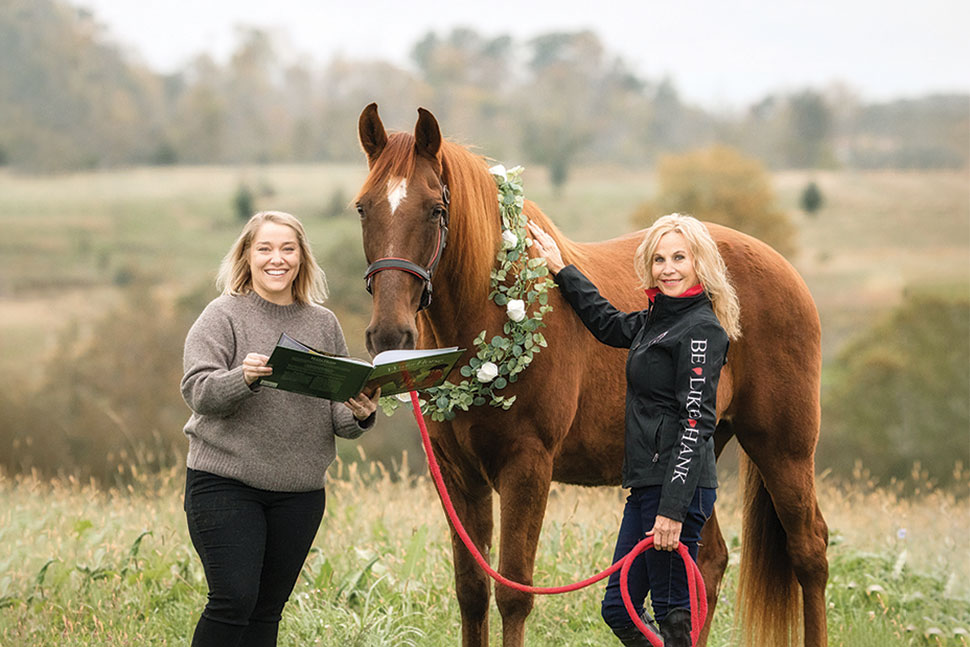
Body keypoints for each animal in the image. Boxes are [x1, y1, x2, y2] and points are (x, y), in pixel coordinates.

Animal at [352, 104, 828, 644]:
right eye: (363, 208)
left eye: (435, 209)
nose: (390, 334)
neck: (491, 316)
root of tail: (784, 270)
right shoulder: (458, 476)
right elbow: (471, 591)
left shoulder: (527, 467)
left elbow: (513, 593)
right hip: (700, 455)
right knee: (707, 559)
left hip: (783, 450)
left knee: (809, 552)